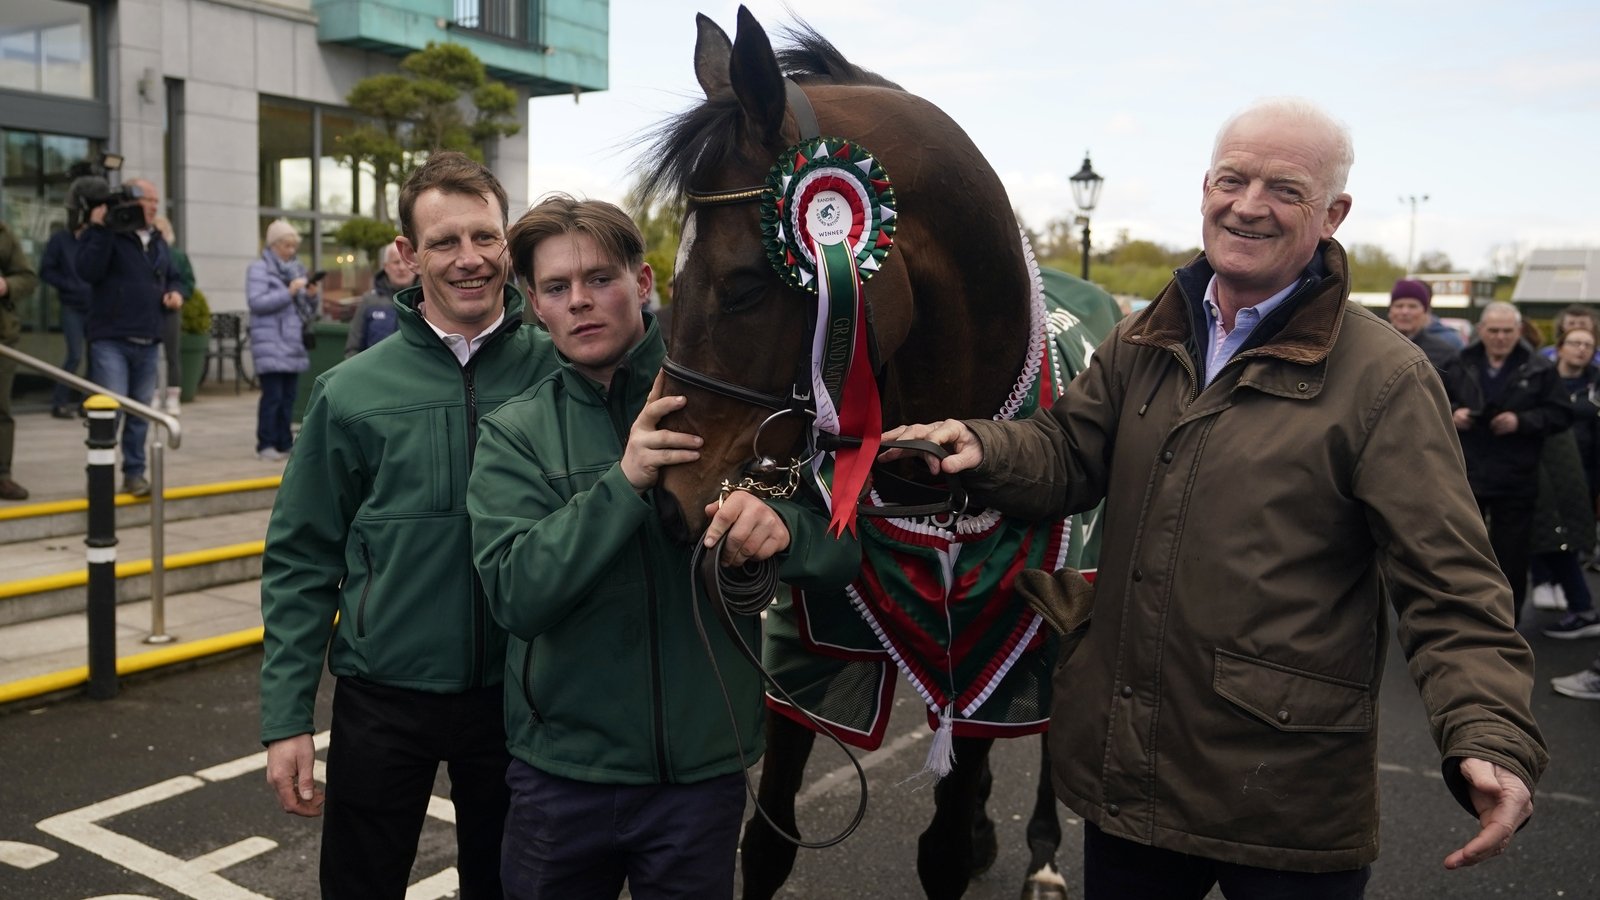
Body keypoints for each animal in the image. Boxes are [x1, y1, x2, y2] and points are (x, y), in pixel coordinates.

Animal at [633, 8, 1113, 896]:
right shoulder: (807, 662)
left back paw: (1041, 854)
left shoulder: (998, 653)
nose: (667, 499)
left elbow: (943, 850)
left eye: (744, 284)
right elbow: (770, 842)